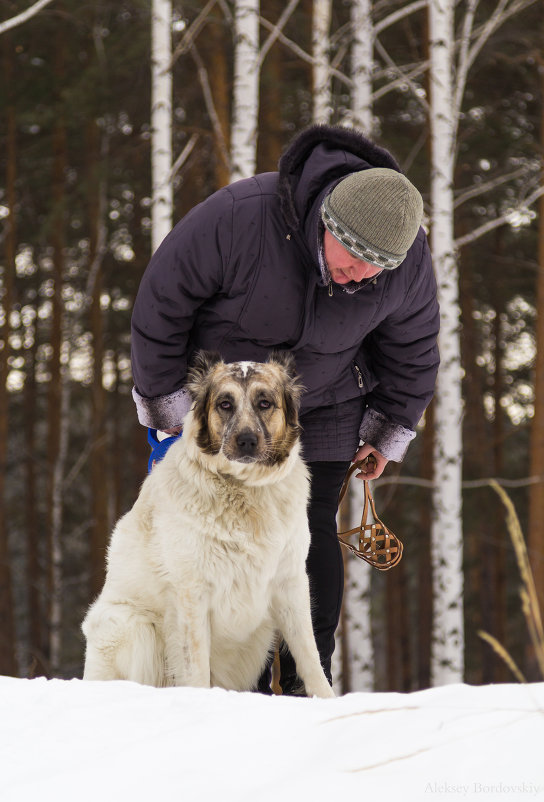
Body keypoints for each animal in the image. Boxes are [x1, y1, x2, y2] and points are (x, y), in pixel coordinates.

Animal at [82, 350, 334, 692]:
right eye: (225, 404)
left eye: (264, 403)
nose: (246, 441)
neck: (243, 490)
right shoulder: (192, 592)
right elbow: (196, 665)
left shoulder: (290, 581)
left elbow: (309, 655)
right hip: (135, 627)